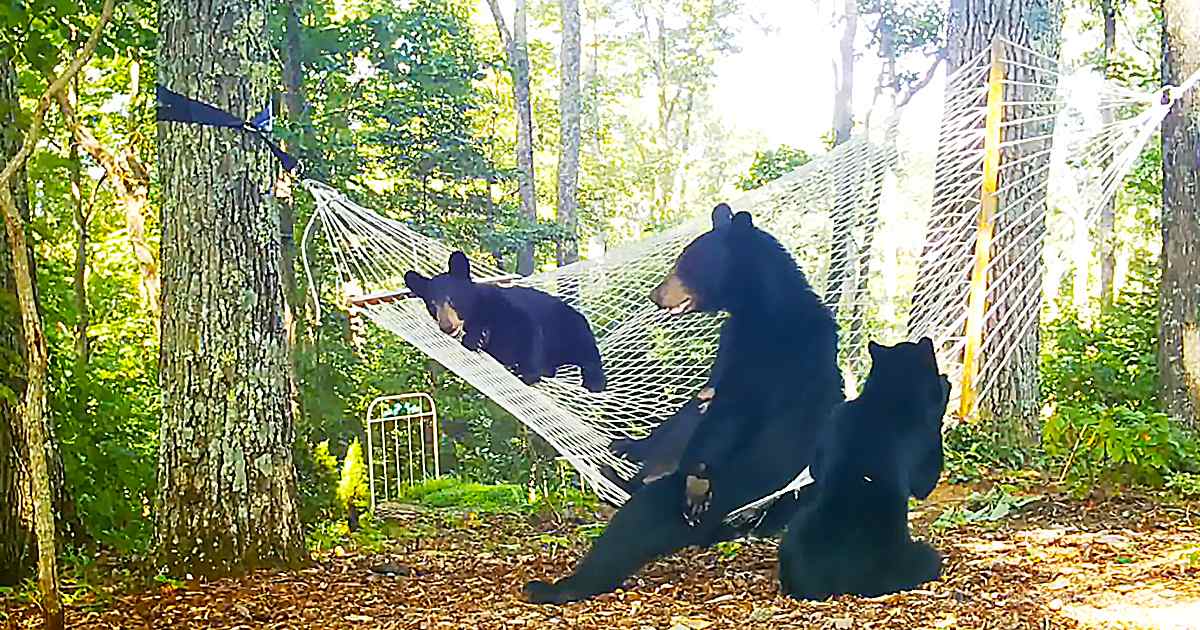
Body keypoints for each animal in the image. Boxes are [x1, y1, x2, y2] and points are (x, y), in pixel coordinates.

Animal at [404, 251, 606, 392]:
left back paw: (594, 381)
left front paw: (529, 373)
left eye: (452, 299)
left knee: (586, 350)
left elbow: (528, 327)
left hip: (571, 326)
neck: (476, 312)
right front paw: (476, 338)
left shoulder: (503, 305)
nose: (446, 326)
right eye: (432, 304)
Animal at [523, 203, 844, 604]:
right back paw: (619, 465)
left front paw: (696, 479)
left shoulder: (779, 353)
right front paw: (631, 445)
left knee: (635, 525)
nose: (655, 295)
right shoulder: (732, 341)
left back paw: (557, 586)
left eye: (685, 264)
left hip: (726, 490)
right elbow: (702, 401)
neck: (762, 306)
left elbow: (736, 409)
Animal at [777, 337, 950, 601]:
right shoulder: (926, 443)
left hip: (793, 534)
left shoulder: (835, 418)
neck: (884, 399)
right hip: (917, 557)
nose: (945, 376)